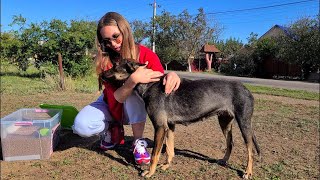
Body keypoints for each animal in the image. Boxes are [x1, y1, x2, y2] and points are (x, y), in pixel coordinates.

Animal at [101, 59, 262, 179]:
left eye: (115, 65)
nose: (102, 73)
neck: (149, 84)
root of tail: (246, 89)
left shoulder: (160, 127)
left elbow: (154, 155)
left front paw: (150, 172)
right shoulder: (170, 126)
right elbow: (170, 149)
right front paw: (166, 165)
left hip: (244, 123)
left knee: (250, 150)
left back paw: (248, 172)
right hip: (224, 122)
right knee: (230, 143)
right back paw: (224, 160)